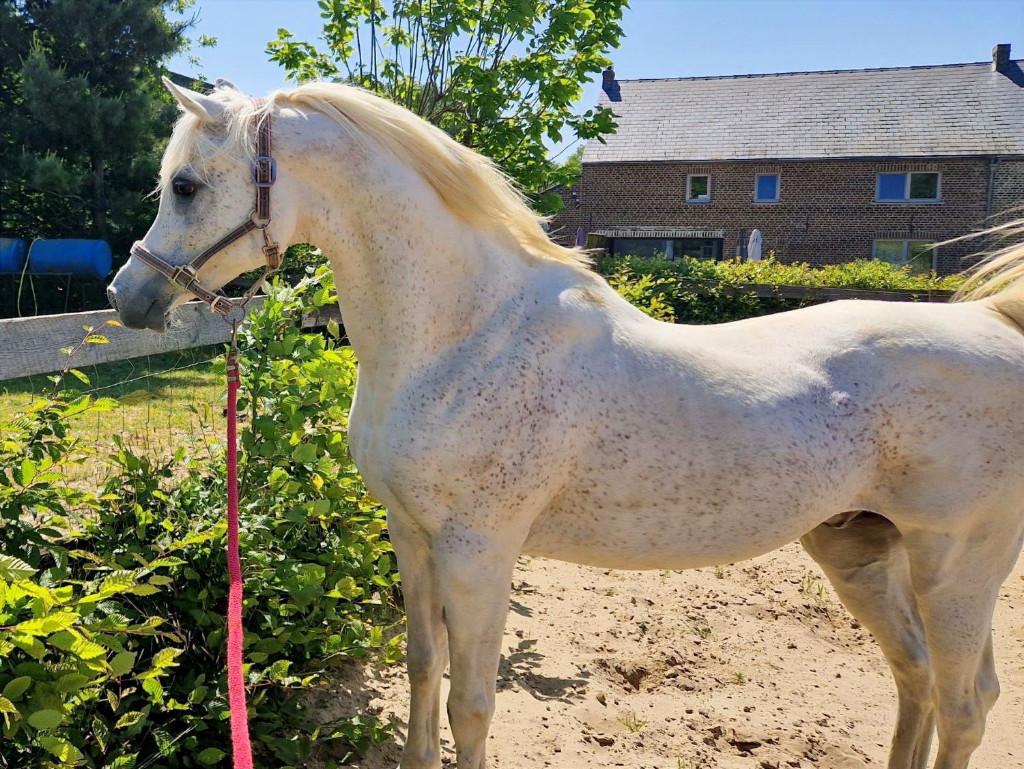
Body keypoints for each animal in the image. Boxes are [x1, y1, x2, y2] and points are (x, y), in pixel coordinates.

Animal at [107, 78, 1024, 769]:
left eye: (186, 186)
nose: (129, 296)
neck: (462, 331)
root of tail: (998, 325)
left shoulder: (479, 552)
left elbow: (472, 704)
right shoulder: (413, 537)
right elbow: (422, 670)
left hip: (956, 569)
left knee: (964, 702)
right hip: (859, 549)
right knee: (914, 677)